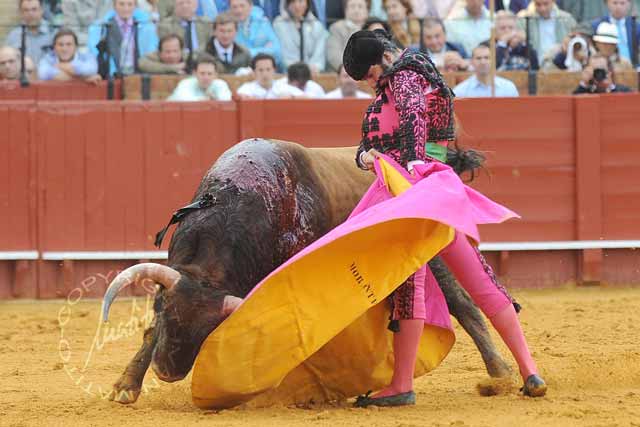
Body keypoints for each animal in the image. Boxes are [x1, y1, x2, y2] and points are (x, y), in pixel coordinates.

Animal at [102, 140, 512, 404]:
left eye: (208, 333)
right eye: (164, 312)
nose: (167, 372)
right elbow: (149, 332)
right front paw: (125, 386)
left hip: (435, 261)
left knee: (463, 305)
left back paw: (500, 373)